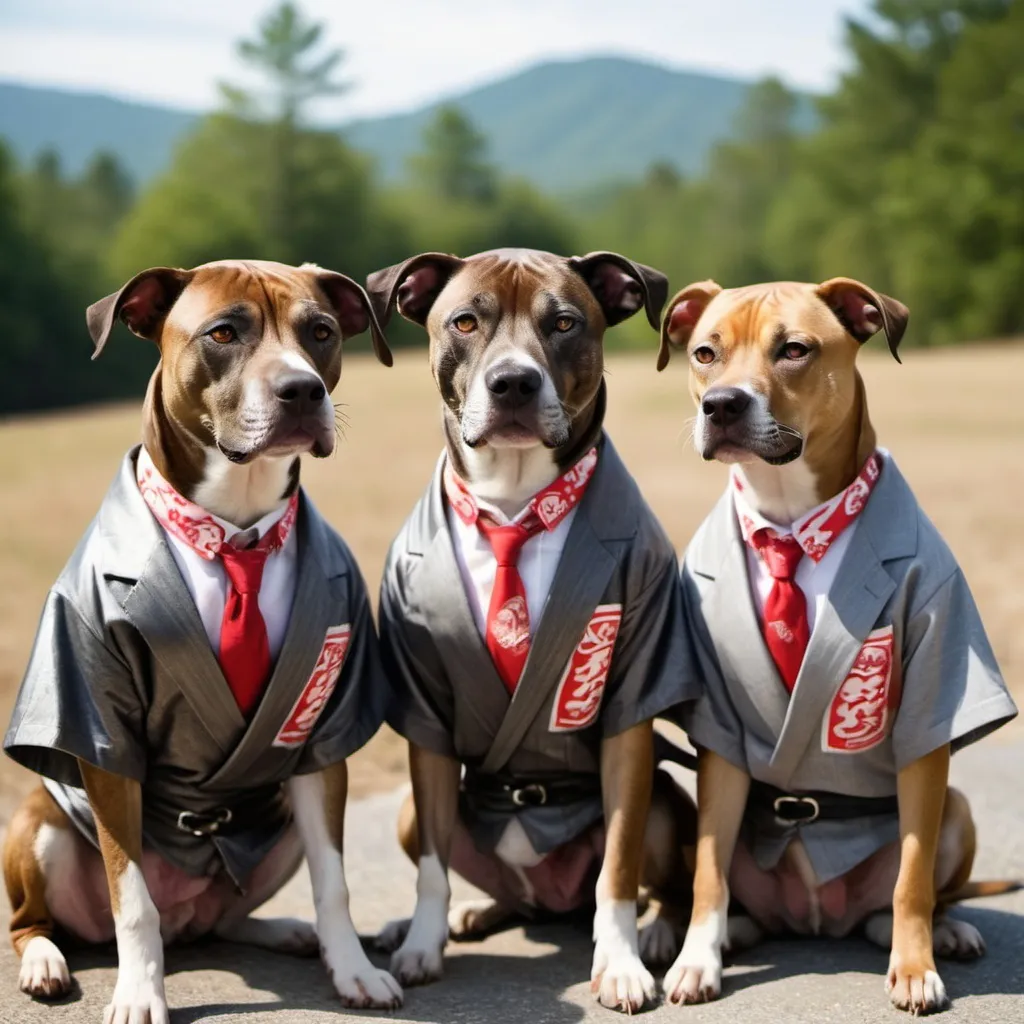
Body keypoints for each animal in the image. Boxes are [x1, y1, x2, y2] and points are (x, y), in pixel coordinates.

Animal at [4, 260, 403, 1019]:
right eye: (223, 334)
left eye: (320, 332)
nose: (301, 389)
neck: (236, 532)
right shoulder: (105, 738)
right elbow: (132, 899)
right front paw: (139, 993)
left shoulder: (320, 737)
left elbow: (334, 879)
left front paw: (353, 969)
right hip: (38, 824)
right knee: (33, 919)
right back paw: (45, 961)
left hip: (275, 823)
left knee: (223, 918)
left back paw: (283, 930)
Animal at [655, 278, 1015, 1015]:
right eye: (706, 352)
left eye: (795, 349)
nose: (721, 403)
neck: (791, 522)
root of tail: (816, 918)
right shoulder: (718, 739)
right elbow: (708, 871)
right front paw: (697, 959)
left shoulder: (928, 716)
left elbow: (912, 877)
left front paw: (916, 967)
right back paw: (719, 931)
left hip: (956, 810)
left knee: (913, 894)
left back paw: (941, 931)